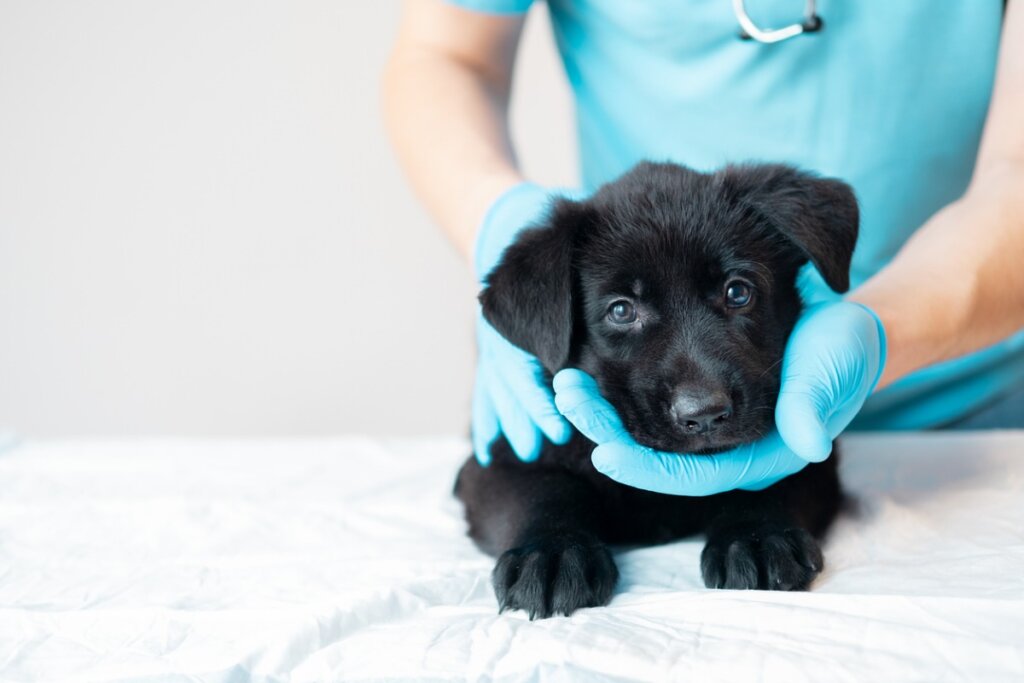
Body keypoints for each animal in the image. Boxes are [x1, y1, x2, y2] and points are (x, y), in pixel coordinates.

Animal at [456, 160, 856, 618]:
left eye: (738, 291)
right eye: (621, 311)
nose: (704, 414)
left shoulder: (815, 454)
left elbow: (774, 479)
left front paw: (757, 536)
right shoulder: (498, 458)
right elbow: (542, 490)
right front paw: (552, 553)